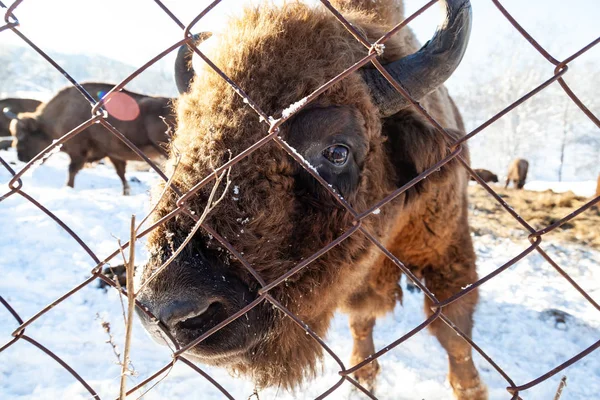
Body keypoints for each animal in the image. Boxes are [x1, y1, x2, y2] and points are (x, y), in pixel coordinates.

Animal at [8, 82, 175, 195]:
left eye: (25, 137)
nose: (20, 157)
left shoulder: (78, 150)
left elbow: (72, 170)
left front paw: (68, 187)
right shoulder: (113, 155)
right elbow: (122, 175)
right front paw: (126, 193)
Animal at [136, 1, 488, 398]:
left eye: (337, 152)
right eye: (180, 142)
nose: (168, 311)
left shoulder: (448, 249)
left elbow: (454, 333)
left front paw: (470, 387)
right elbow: (361, 321)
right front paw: (363, 377)